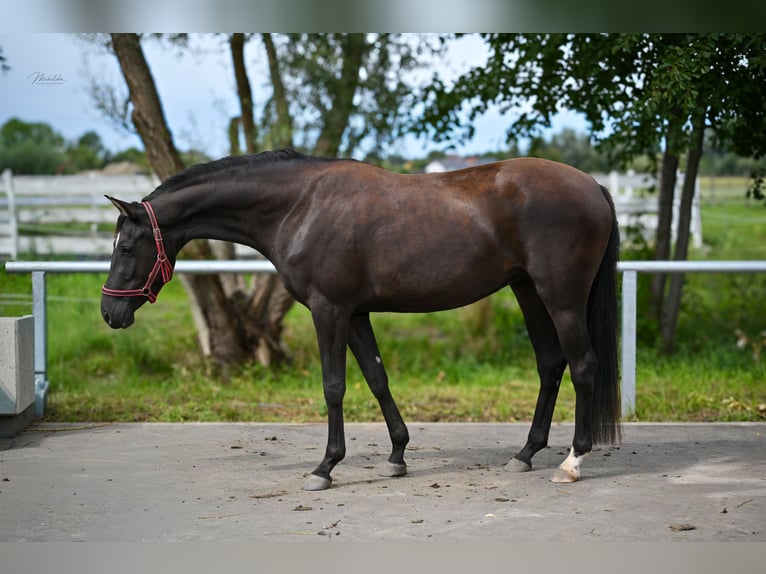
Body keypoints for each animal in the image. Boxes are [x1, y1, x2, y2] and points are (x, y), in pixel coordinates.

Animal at [101, 149, 621, 491]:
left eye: (126, 247)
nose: (110, 312)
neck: (300, 205)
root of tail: (593, 186)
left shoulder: (329, 309)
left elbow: (334, 386)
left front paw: (325, 468)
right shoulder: (356, 313)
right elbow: (376, 377)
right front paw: (396, 456)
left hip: (561, 298)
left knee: (583, 366)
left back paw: (572, 462)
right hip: (528, 291)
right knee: (550, 365)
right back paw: (525, 454)